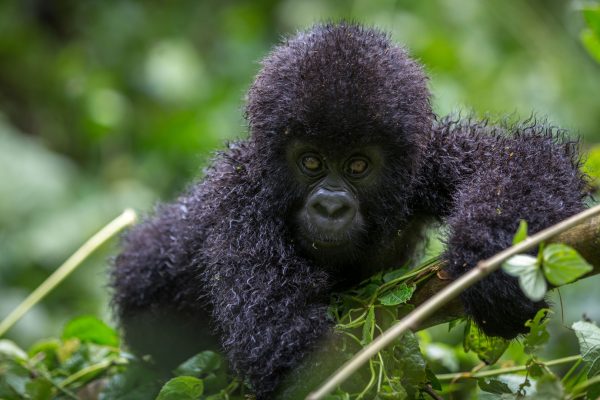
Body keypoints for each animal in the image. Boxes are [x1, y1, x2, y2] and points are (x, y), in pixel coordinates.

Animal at [110, 22, 588, 400]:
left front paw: (490, 260)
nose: (330, 205)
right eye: (311, 162)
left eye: (358, 166)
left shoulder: (427, 158)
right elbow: (288, 354)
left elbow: (520, 160)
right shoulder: (240, 204)